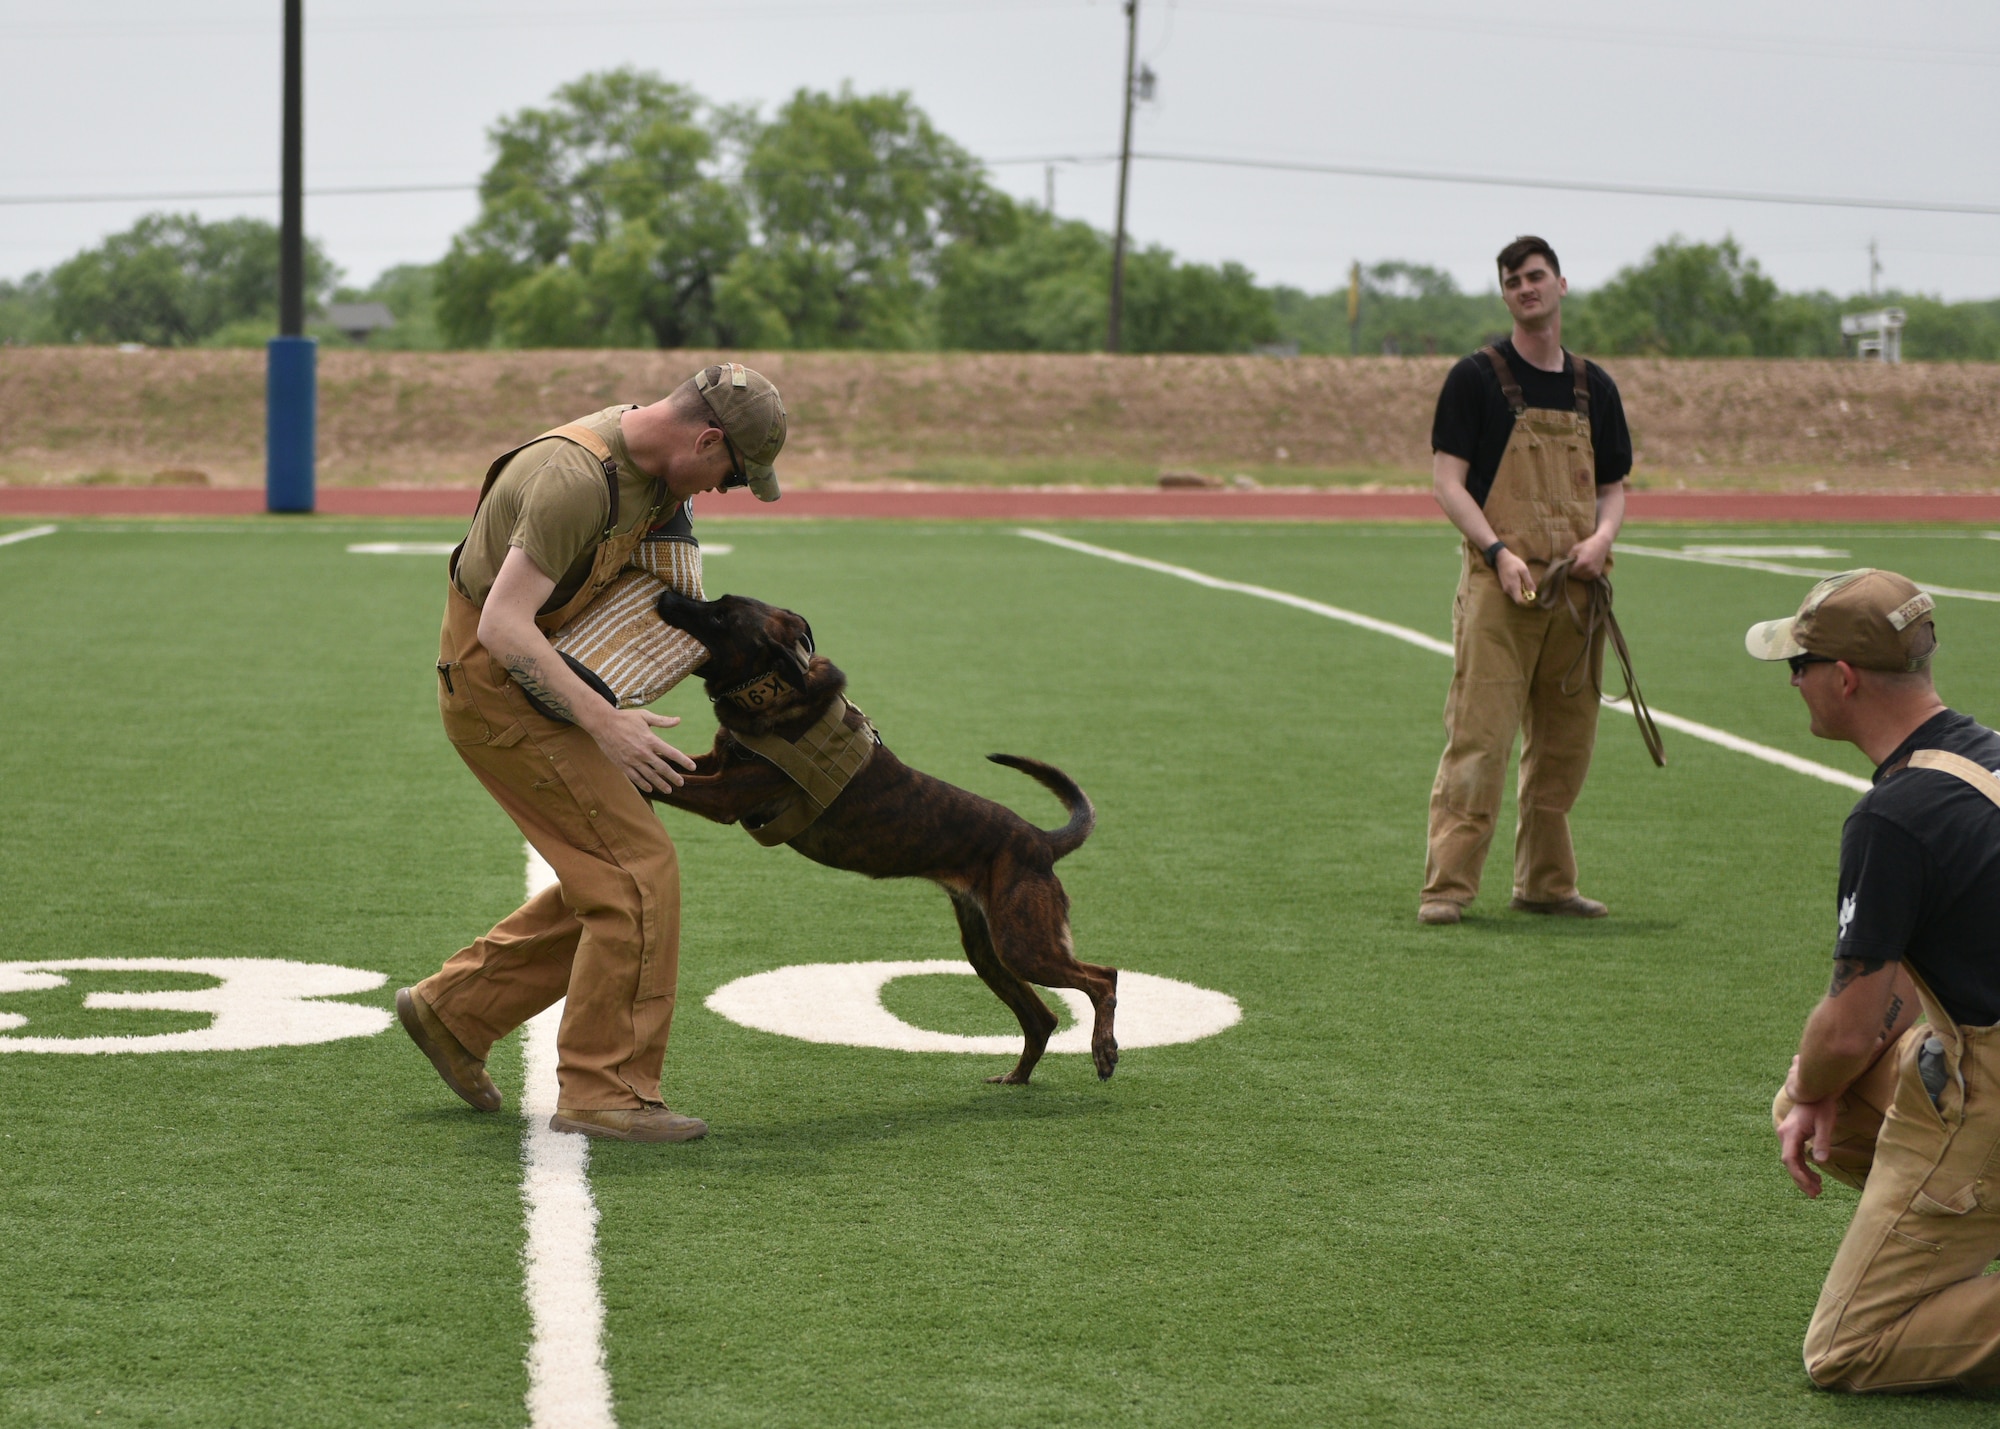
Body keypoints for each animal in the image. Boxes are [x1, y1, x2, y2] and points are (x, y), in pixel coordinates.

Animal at [652, 584, 1112, 1072]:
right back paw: (1017, 1078)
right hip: (989, 951)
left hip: (1023, 945)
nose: (665, 597)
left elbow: (668, 781)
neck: (779, 690)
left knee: (1103, 978)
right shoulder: (713, 766)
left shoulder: (723, 795)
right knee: (1042, 1018)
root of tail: (1041, 841)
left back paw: (1104, 1049)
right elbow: (670, 764)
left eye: (720, 617)